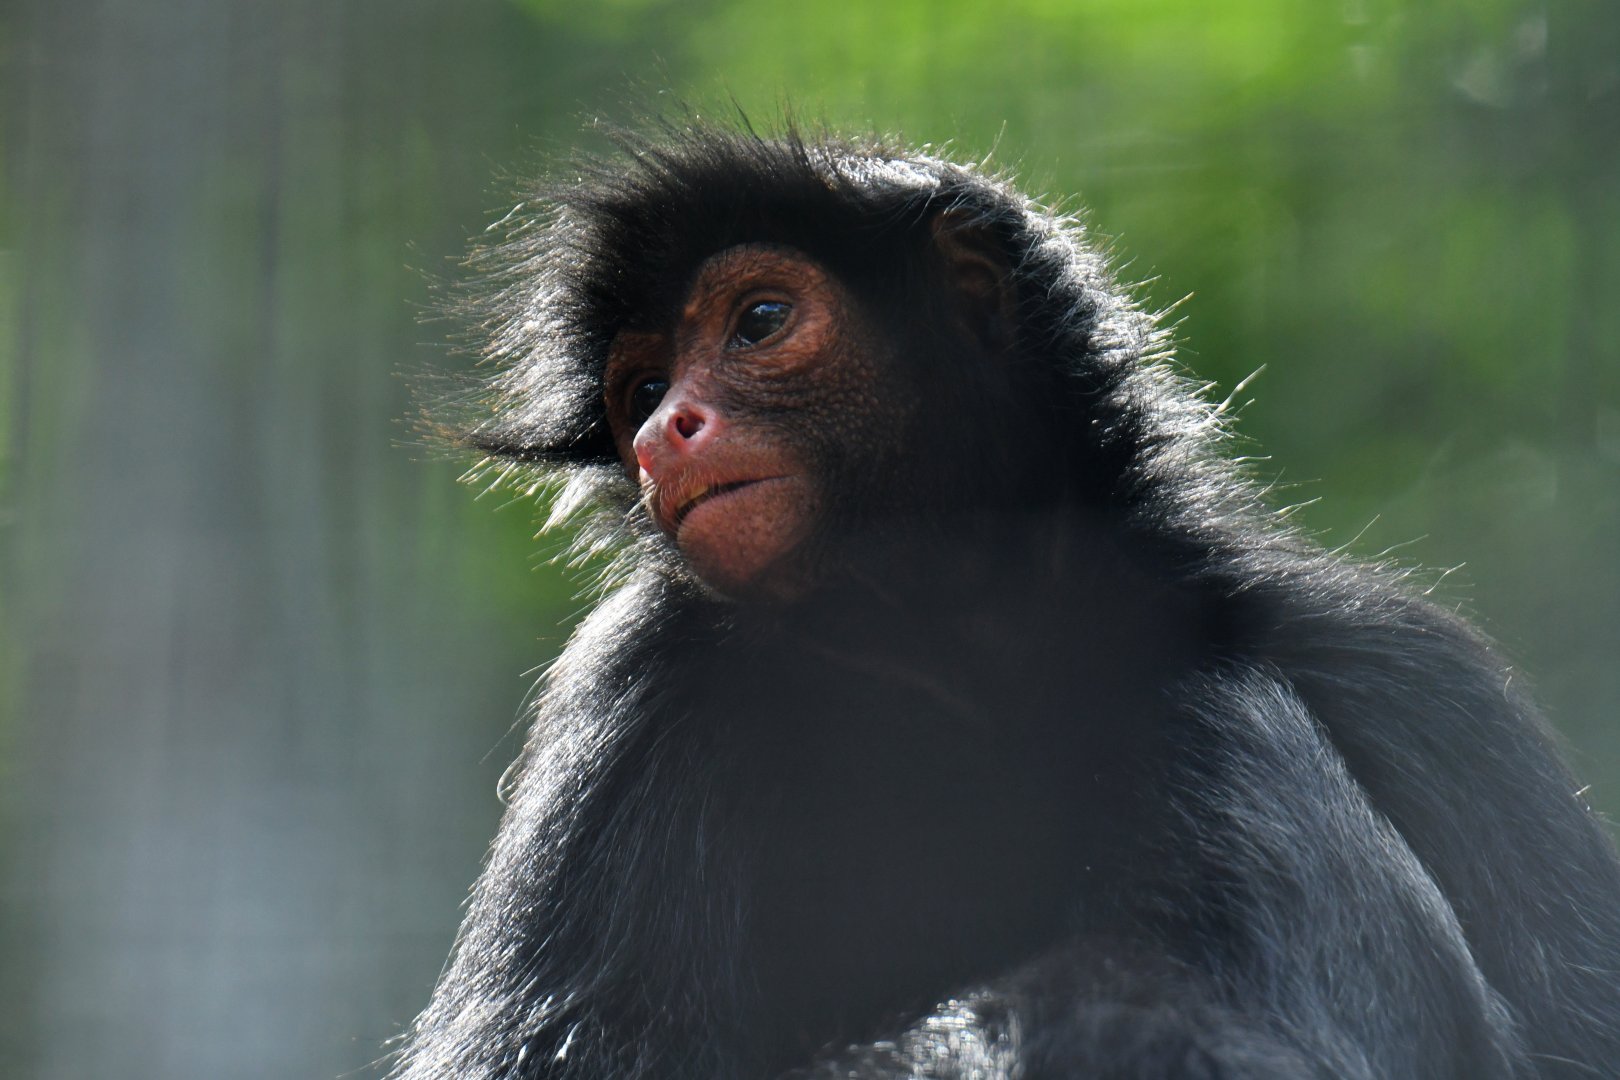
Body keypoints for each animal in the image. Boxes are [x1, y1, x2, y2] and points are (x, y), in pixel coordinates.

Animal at [389, 125, 1620, 1079]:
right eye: (640, 389)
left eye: (760, 320)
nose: (664, 432)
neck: (961, 642)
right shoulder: (635, 682)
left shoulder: (1396, 663)